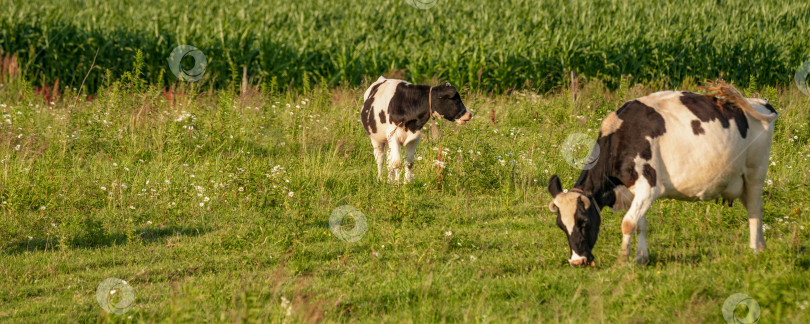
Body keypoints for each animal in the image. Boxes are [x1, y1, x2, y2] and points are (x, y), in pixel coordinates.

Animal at [544, 83, 776, 266]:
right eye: (561, 226)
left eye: (583, 222)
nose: (578, 261)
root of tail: (759, 102)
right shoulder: (633, 192)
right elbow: (640, 224)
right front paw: (641, 258)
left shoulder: (649, 186)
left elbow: (628, 223)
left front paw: (622, 260)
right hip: (741, 181)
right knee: (755, 209)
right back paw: (763, 247)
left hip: (755, 173)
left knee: (754, 210)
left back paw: (754, 251)